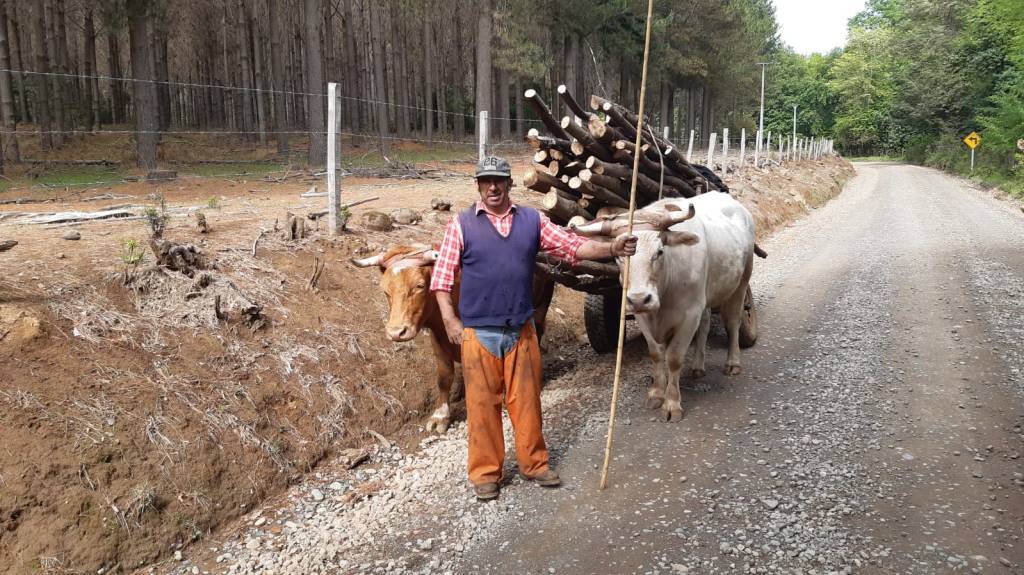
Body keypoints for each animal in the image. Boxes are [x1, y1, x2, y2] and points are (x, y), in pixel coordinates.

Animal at [352, 244, 554, 433]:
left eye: (419, 286)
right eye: (385, 291)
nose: (396, 332)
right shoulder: (438, 340)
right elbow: (444, 377)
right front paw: (440, 416)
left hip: (542, 304)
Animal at [573, 192, 758, 422]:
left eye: (660, 252)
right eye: (618, 257)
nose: (640, 299)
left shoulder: (689, 314)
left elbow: (674, 357)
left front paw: (671, 403)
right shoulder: (644, 316)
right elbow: (656, 354)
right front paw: (656, 394)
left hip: (742, 280)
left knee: (732, 321)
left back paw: (733, 363)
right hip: (706, 296)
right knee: (705, 325)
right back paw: (698, 366)